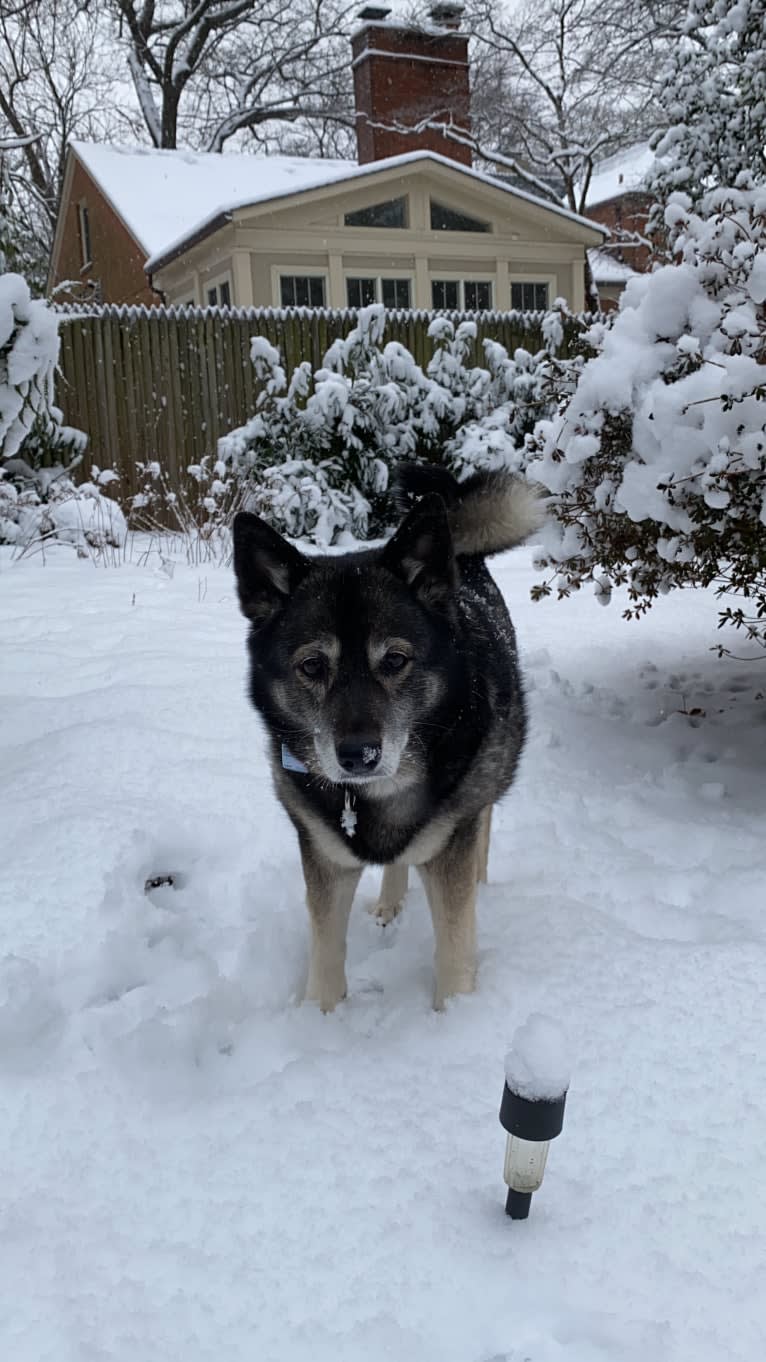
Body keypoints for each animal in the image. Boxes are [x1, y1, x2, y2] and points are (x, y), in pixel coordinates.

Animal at [233, 468, 537, 1013]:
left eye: (395, 660)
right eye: (313, 666)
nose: (359, 755)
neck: (374, 796)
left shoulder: (451, 846)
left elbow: (455, 946)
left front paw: (456, 1017)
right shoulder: (324, 853)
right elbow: (325, 955)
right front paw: (320, 1018)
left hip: (489, 773)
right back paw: (390, 902)